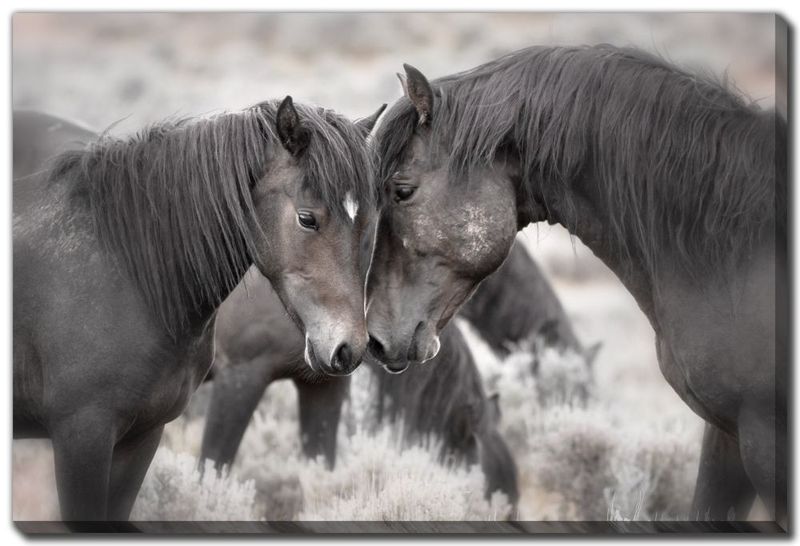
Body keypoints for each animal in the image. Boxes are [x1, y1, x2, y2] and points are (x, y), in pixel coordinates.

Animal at [13, 98, 379, 522]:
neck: (125, 275)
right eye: (307, 218)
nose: (349, 347)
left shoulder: (143, 435)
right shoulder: (83, 435)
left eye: (366, 224)